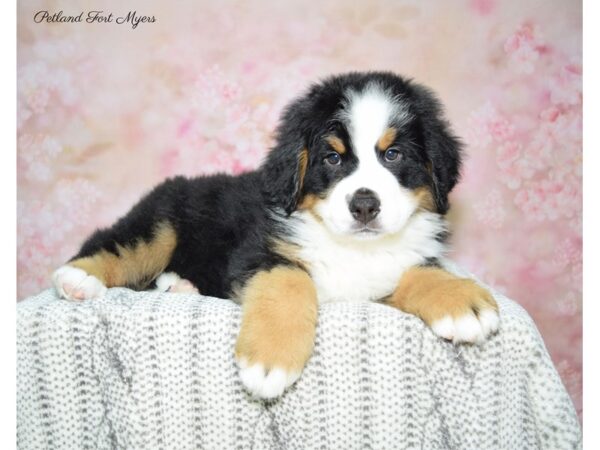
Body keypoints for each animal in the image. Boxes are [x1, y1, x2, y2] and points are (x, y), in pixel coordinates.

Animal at [54, 72, 500, 400]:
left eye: (393, 155)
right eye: (332, 158)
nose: (364, 205)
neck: (351, 247)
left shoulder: (380, 276)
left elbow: (417, 270)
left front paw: (461, 301)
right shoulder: (258, 251)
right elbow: (289, 282)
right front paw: (270, 361)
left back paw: (180, 286)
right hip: (162, 222)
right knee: (120, 243)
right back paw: (78, 279)